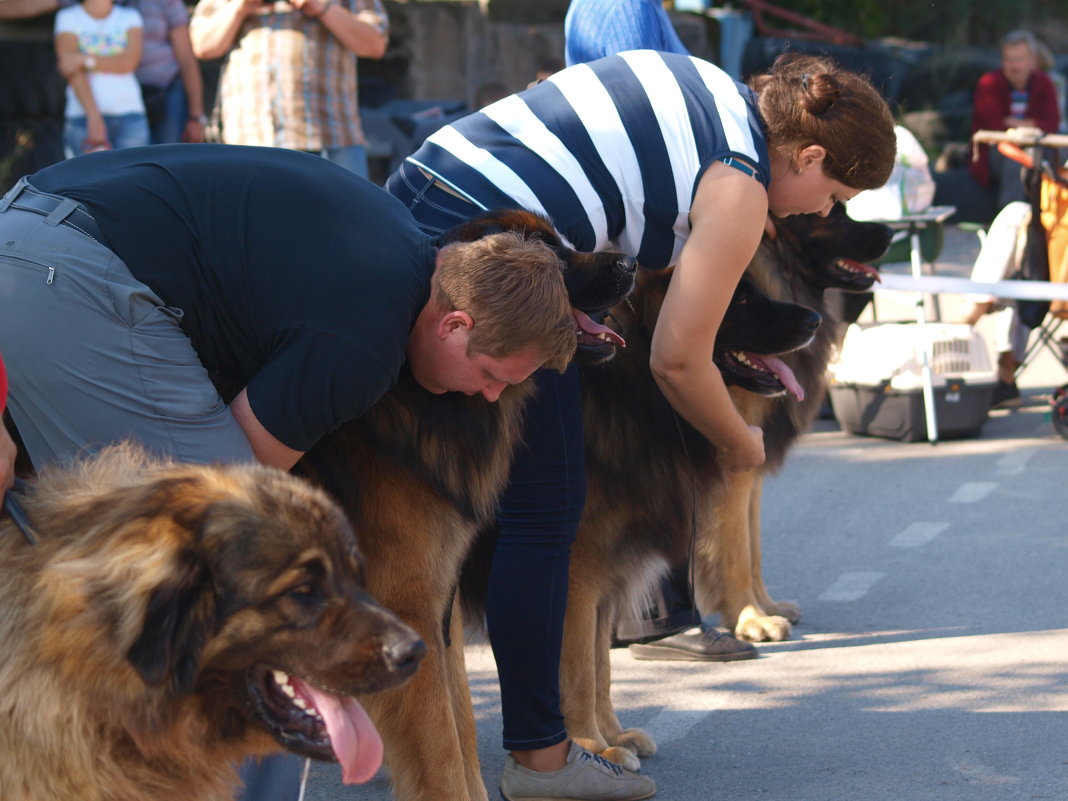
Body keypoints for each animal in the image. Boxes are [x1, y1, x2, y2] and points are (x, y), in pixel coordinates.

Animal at [692, 203, 892, 645]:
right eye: (837, 217)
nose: (890, 231)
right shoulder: (732, 468)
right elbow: (735, 550)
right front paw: (749, 617)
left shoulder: (752, 458)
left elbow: (753, 548)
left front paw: (766, 607)